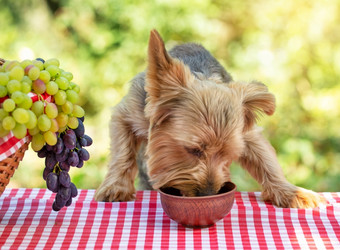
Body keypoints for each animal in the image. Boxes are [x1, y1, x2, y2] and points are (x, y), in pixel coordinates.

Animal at [94, 29, 326, 208]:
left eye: (228, 155)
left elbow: (265, 159)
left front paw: (290, 192)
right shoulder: (126, 114)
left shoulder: (246, 133)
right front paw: (116, 187)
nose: (207, 194)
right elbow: (122, 153)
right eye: (193, 150)